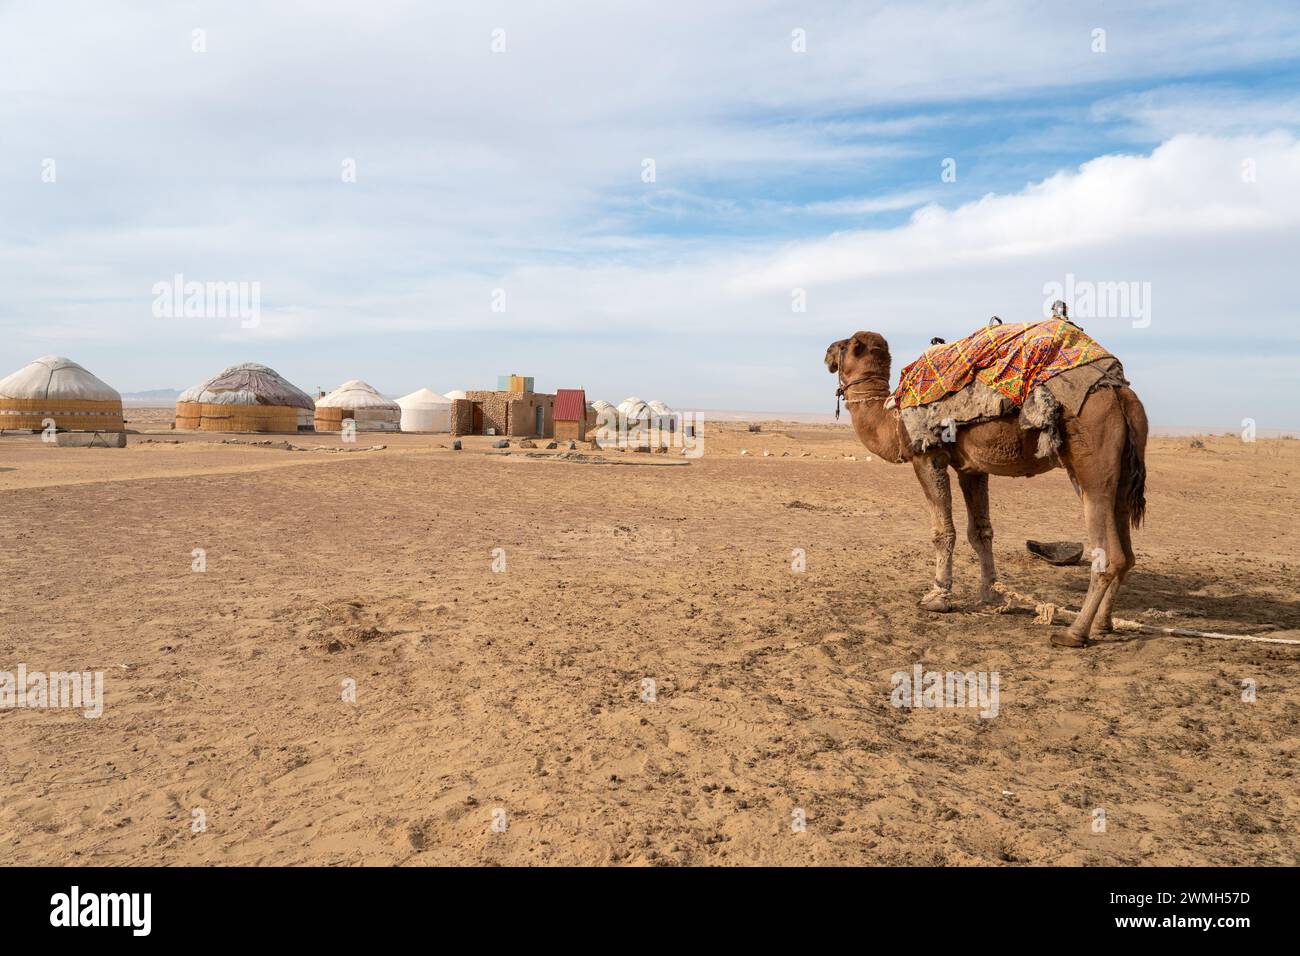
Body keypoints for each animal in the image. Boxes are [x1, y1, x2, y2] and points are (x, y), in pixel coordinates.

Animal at [825, 329, 1147, 647]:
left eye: (845, 345)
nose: (827, 352)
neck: (891, 419)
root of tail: (1120, 394)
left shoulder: (928, 456)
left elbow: (944, 531)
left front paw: (938, 597)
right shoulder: (971, 468)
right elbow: (980, 532)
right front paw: (991, 595)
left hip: (1091, 460)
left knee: (1107, 554)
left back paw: (1074, 633)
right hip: (1121, 470)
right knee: (1125, 552)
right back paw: (1104, 625)